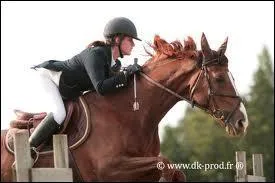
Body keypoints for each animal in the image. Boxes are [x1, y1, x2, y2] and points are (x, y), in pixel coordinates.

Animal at [0, 33, 250, 182]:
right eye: (219, 78)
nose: (242, 121)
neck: (132, 115)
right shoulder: (110, 169)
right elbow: (166, 164)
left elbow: (173, 170)